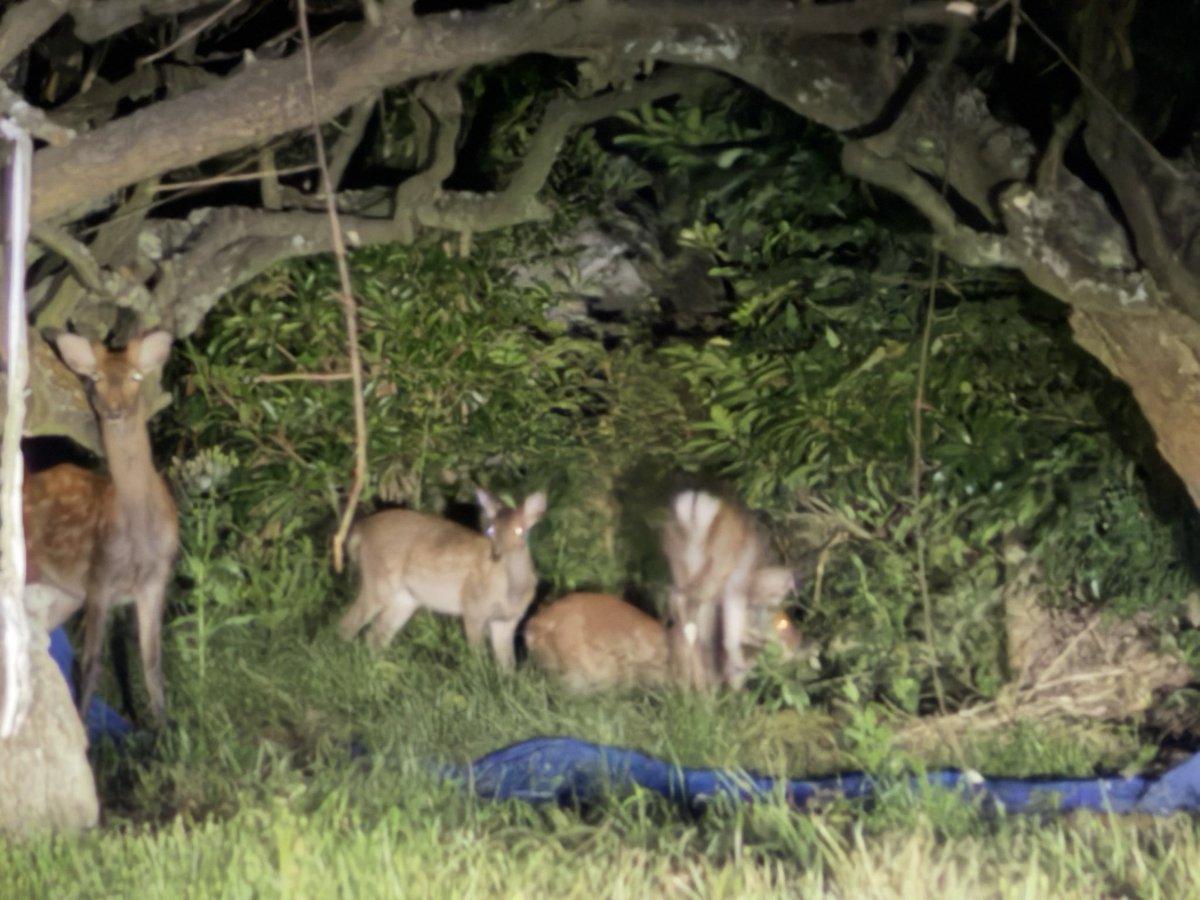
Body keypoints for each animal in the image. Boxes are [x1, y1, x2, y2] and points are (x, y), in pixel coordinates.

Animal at [22, 329, 178, 725]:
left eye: (136, 376)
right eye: (95, 378)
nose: (114, 409)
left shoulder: (156, 578)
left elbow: (152, 662)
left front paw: (163, 727)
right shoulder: (99, 576)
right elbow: (92, 663)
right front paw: (86, 730)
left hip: (63, 594)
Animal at [338, 489, 547, 670]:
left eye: (520, 530)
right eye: (491, 530)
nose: (496, 555)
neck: (511, 592)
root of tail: (361, 529)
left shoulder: (508, 620)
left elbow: (508, 664)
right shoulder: (474, 608)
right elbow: (477, 654)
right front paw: (480, 676)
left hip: (405, 598)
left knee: (376, 633)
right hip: (378, 581)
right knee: (348, 624)